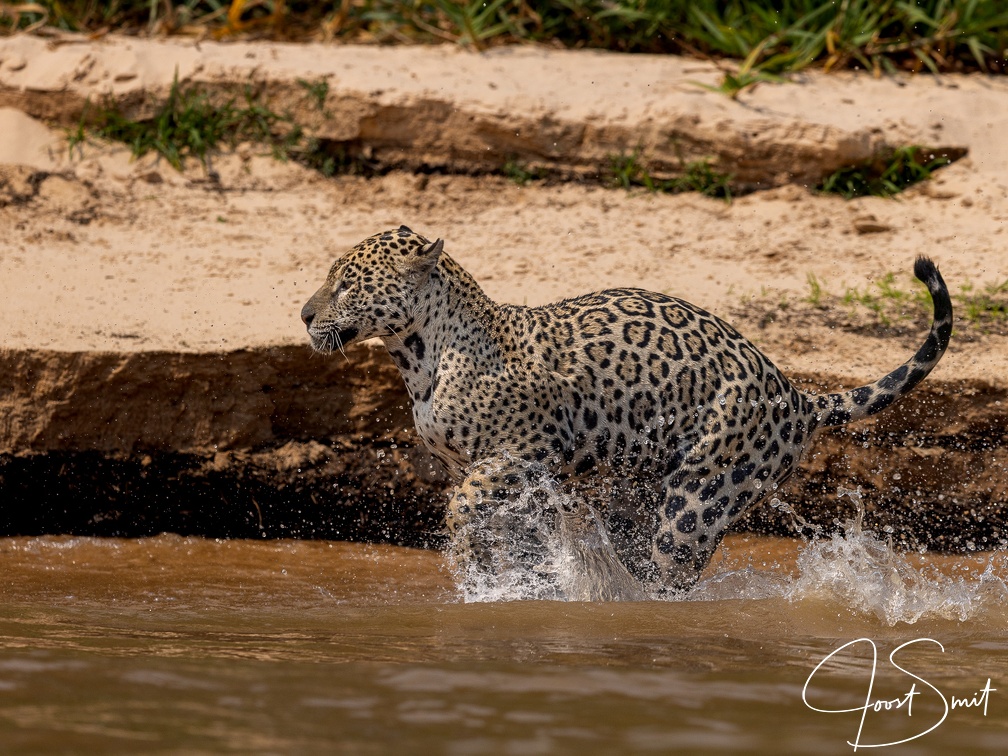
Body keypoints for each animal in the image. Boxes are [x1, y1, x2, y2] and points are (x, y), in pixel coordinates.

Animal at [301, 226, 952, 595]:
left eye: (346, 283)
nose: (305, 314)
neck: (418, 355)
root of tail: (795, 393)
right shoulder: (502, 473)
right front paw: (507, 578)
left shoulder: (526, 452)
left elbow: (464, 504)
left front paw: (469, 558)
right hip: (639, 489)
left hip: (698, 501)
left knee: (668, 576)